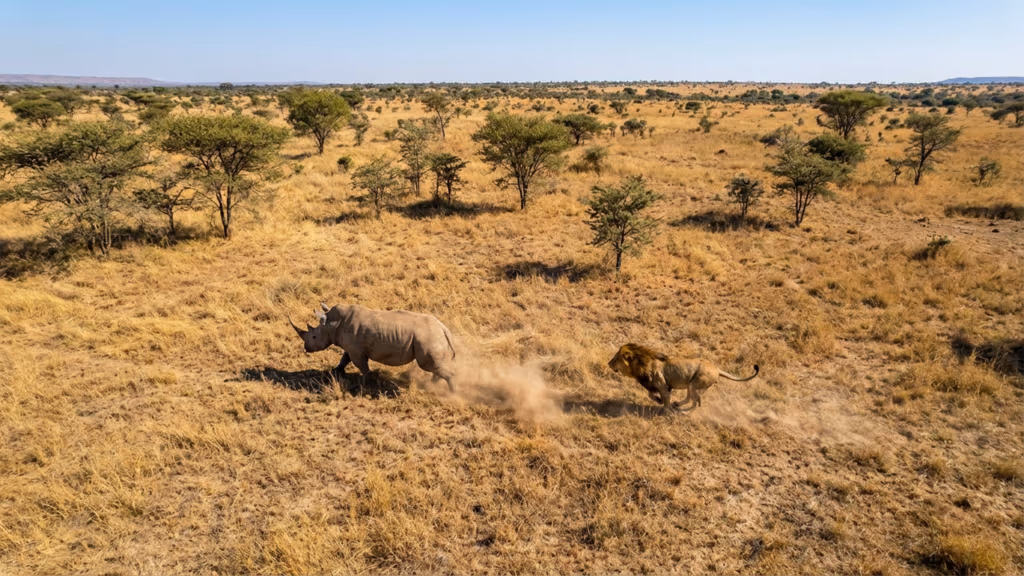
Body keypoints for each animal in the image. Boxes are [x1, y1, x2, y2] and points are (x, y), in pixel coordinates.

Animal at [608, 343, 759, 410]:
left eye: (616, 358)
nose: (608, 363)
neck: (641, 364)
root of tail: (716, 369)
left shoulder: (663, 385)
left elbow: (665, 400)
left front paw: (665, 411)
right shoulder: (654, 386)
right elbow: (650, 395)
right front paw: (659, 401)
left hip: (694, 384)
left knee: (696, 401)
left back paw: (686, 411)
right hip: (691, 385)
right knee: (691, 398)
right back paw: (678, 405)